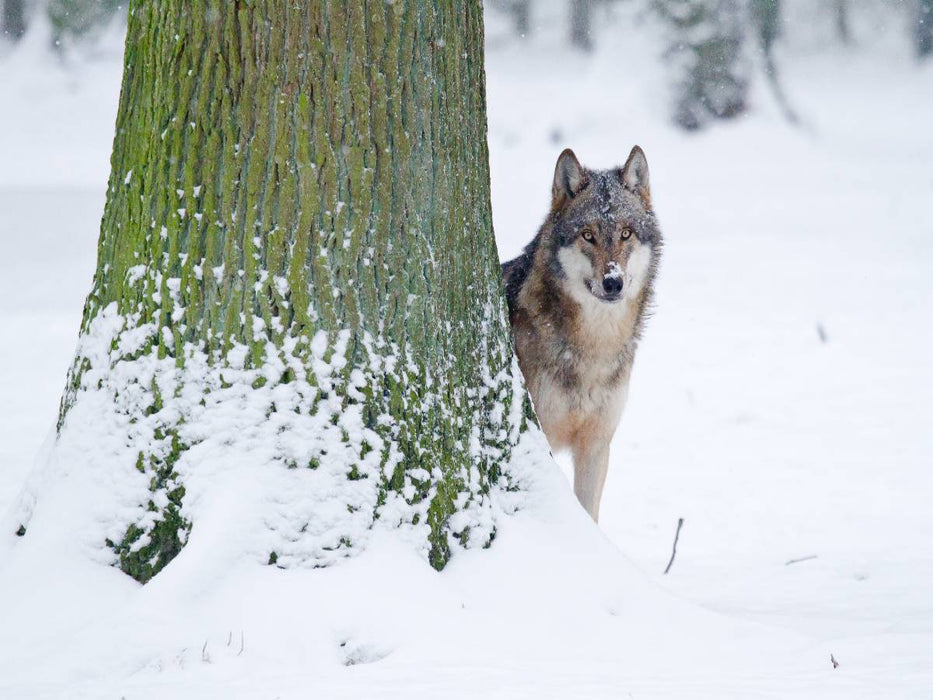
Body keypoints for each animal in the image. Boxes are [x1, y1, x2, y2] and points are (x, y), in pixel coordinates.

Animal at [501, 146, 662, 521]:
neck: (594, 350)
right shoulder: (542, 435)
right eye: (588, 235)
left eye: (626, 233)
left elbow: (589, 514)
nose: (613, 282)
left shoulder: (596, 445)